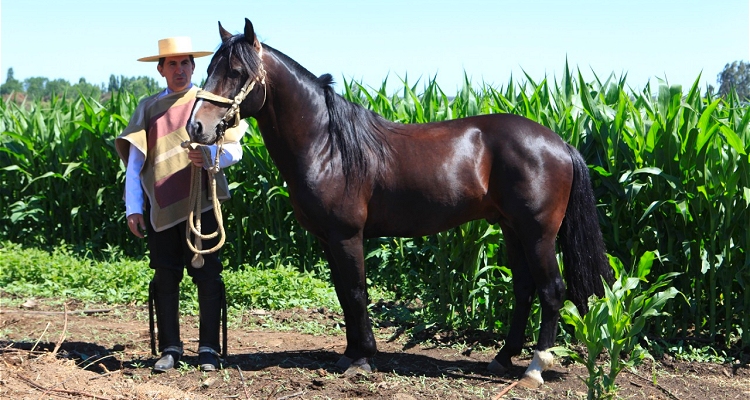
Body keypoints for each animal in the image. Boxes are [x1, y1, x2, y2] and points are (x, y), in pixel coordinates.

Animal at [187, 18, 612, 388]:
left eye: (237, 71)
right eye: (209, 67)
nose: (196, 127)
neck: (327, 145)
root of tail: (560, 143)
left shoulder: (347, 236)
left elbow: (356, 293)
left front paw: (362, 359)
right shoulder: (328, 240)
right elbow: (343, 294)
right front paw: (349, 354)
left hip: (538, 233)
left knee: (551, 290)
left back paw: (535, 369)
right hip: (511, 228)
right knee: (524, 289)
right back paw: (502, 358)